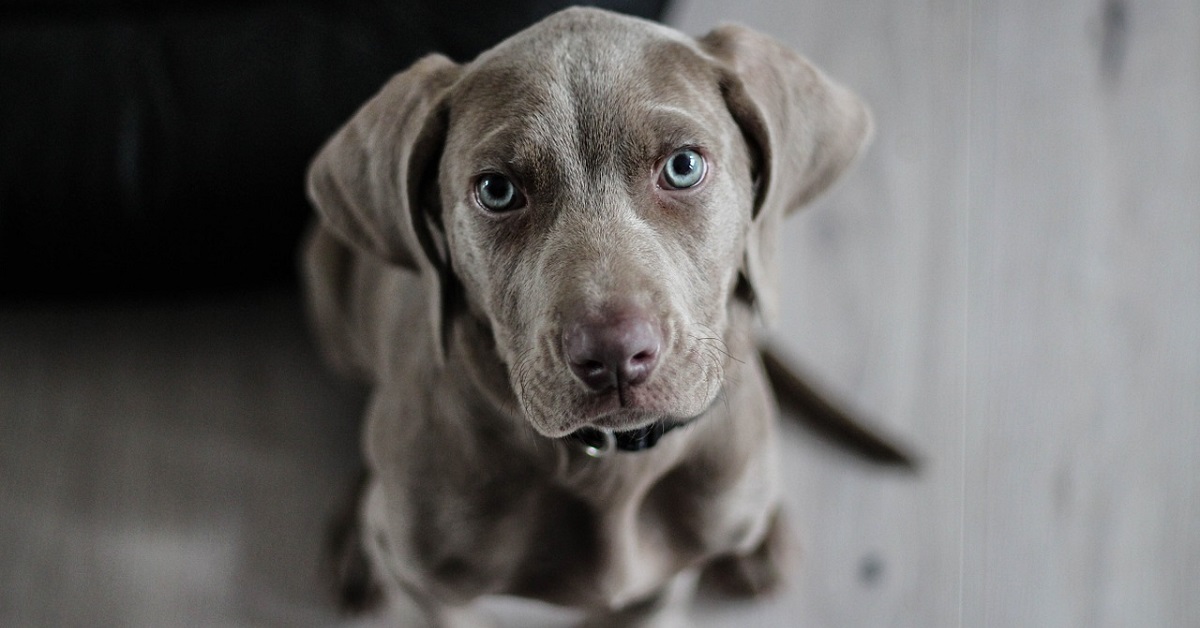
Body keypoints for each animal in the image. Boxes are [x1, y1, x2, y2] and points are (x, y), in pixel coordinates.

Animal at [304, 6, 873, 628]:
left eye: (683, 166)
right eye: (496, 190)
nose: (614, 354)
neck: (608, 465)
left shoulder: (659, 589)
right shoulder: (437, 594)